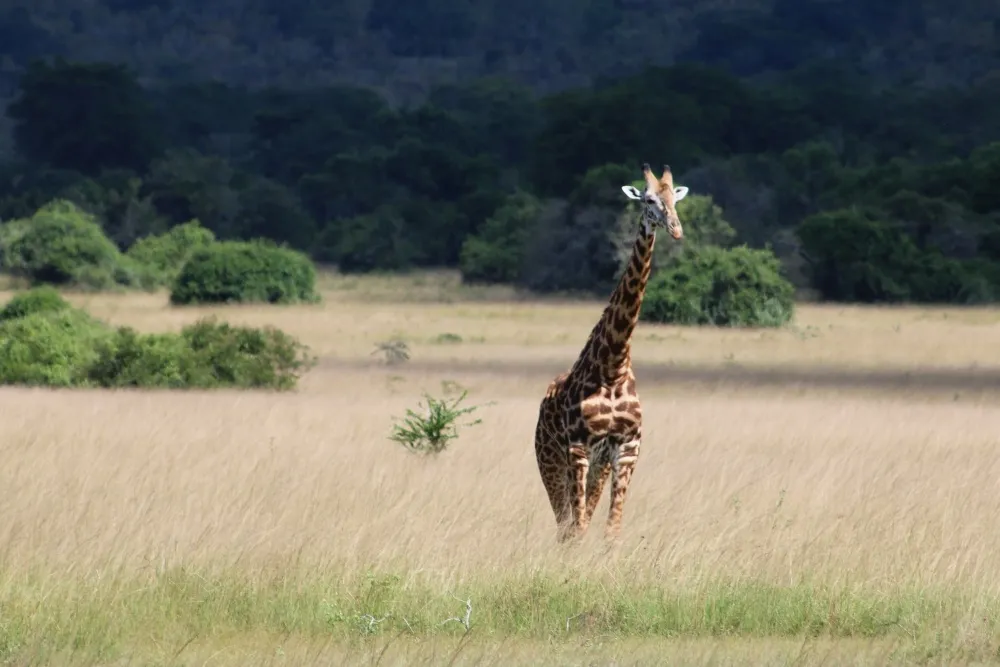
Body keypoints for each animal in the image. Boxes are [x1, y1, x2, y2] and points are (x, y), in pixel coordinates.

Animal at [533, 163, 689, 543]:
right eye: (648, 200)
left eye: (674, 198)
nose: (676, 230)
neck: (613, 366)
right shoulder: (577, 448)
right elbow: (579, 528)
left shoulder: (626, 448)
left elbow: (611, 529)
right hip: (550, 461)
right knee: (564, 524)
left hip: (597, 465)